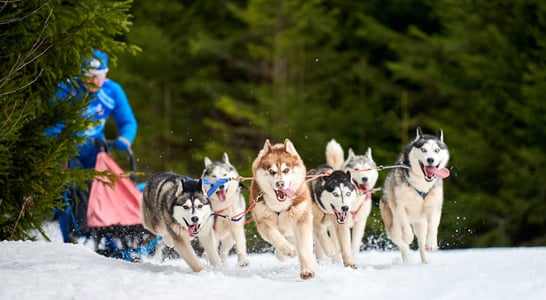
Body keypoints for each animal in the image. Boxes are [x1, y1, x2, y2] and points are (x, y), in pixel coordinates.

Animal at [250, 139, 314, 280]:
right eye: (271, 171)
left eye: (286, 170)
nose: (280, 184)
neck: (280, 206)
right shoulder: (263, 222)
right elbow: (275, 236)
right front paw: (287, 249)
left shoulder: (301, 220)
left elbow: (304, 248)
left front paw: (307, 270)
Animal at [378, 127, 450, 264]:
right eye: (423, 150)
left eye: (437, 150)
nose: (430, 160)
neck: (422, 185)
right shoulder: (398, 207)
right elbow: (406, 228)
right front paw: (408, 237)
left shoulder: (434, 207)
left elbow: (433, 226)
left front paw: (431, 243)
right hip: (392, 225)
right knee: (400, 242)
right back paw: (406, 254)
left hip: (420, 224)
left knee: (421, 242)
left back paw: (425, 260)